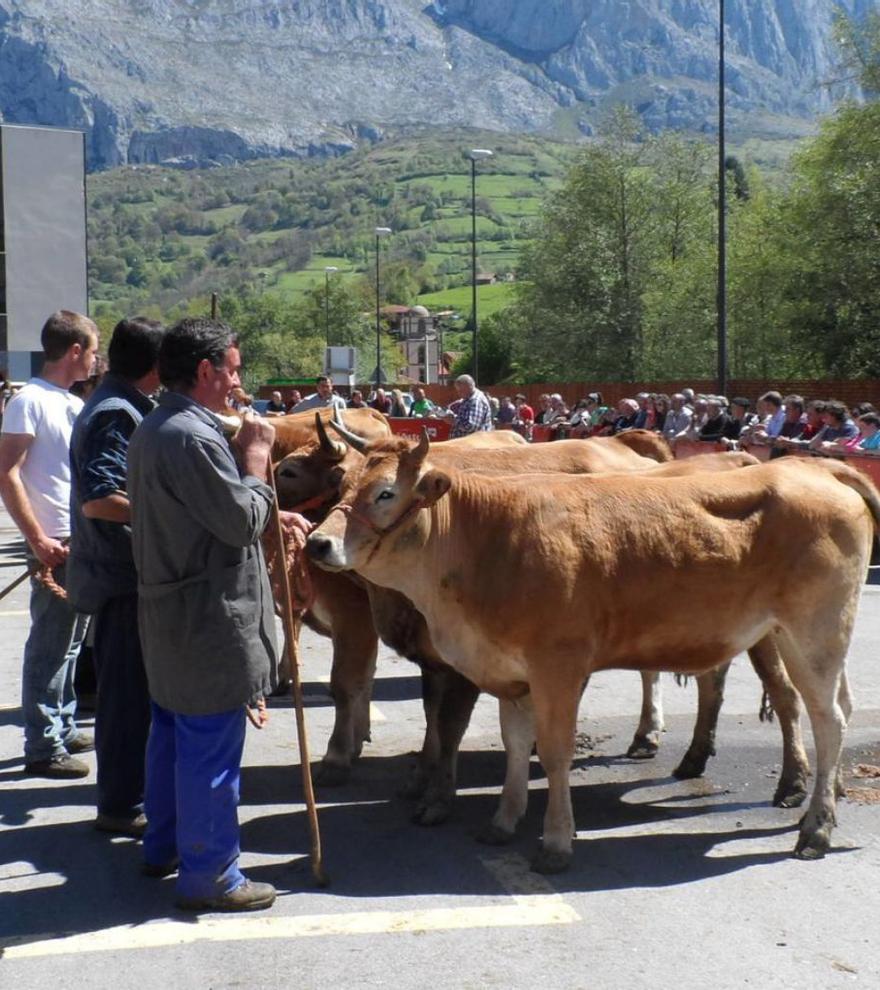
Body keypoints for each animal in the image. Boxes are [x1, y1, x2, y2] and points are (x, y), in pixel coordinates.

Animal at [306, 438, 876, 872]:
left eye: (385, 492)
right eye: (342, 486)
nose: (316, 543)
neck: (486, 542)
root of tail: (812, 466)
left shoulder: (557, 667)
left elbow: (555, 752)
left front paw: (556, 842)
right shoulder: (510, 673)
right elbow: (516, 746)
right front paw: (503, 821)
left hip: (812, 632)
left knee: (826, 719)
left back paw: (814, 829)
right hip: (810, 637)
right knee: (839, 709)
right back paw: (828, 797)